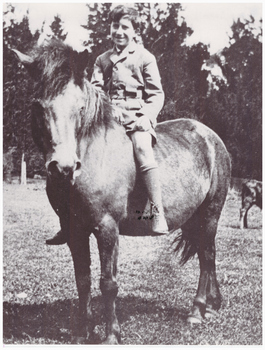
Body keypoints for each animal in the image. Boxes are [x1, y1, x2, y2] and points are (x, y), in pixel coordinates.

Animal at [13, 41, 230, 344]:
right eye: (38, 107)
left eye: (81, 107)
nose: (64, 168)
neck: (91, 154)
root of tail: (211, 137)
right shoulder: (75, 230)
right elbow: (83, 279)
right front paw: (82, 332)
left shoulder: (107, 228)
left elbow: (108, 283)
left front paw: (111, 334)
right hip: (195, 217)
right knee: (204, 253)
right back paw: (212, 304)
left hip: (210, 213)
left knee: (207, 256)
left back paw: (198, 310)